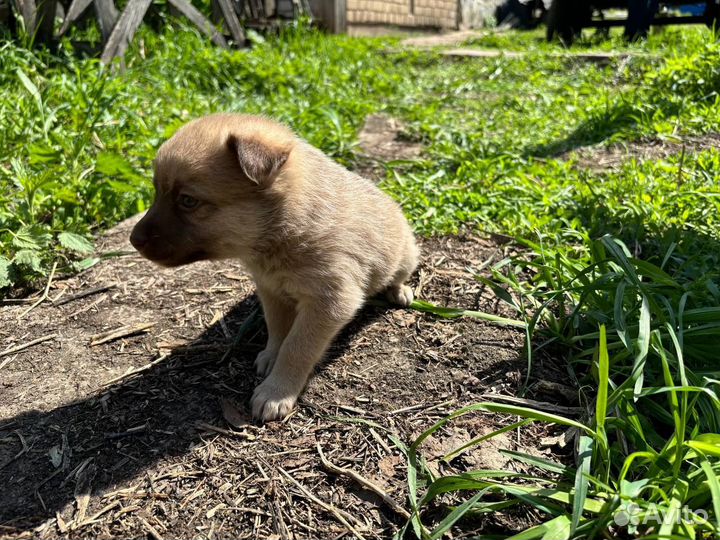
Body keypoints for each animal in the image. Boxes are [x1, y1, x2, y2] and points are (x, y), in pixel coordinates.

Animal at [131, 114, 416, 422]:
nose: (133, 240)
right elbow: (278, 328)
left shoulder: (330, 302)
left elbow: (296, 347)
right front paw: (270, 356)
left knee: (399, 275)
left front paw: (276, 392)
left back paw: (400, 291)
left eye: (188, 201)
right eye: (157, 191)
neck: (285, 229)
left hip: (407, 255)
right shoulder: (271, 290)